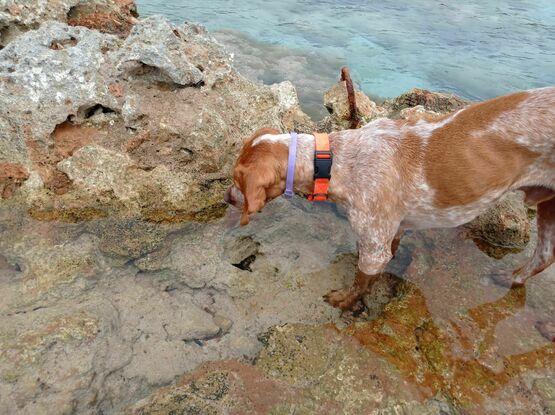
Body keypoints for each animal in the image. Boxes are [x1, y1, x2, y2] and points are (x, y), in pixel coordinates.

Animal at [224, 88, 552, 314]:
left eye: (236, 179)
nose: (226, 197)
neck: (333, 161)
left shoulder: (374, 247)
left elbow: (360, 281)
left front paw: (345, 300)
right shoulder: (389, 233)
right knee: (544, 257)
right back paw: (512, 278)